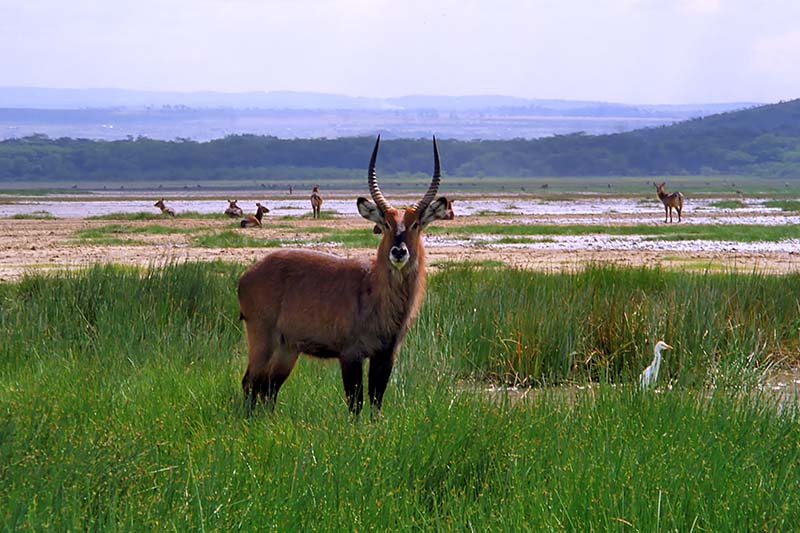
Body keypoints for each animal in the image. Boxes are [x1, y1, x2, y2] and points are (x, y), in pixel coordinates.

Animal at [238, 135, 450, 414]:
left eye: (415, 224)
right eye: (386, 224)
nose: (398, 252)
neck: (375, 291)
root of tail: (246, 276)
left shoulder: (386, 355)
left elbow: (376, 401)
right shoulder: (350, 354)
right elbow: (356, 403)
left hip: (287, 348)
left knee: (268, 388)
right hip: (262, 339)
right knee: (250, 383)